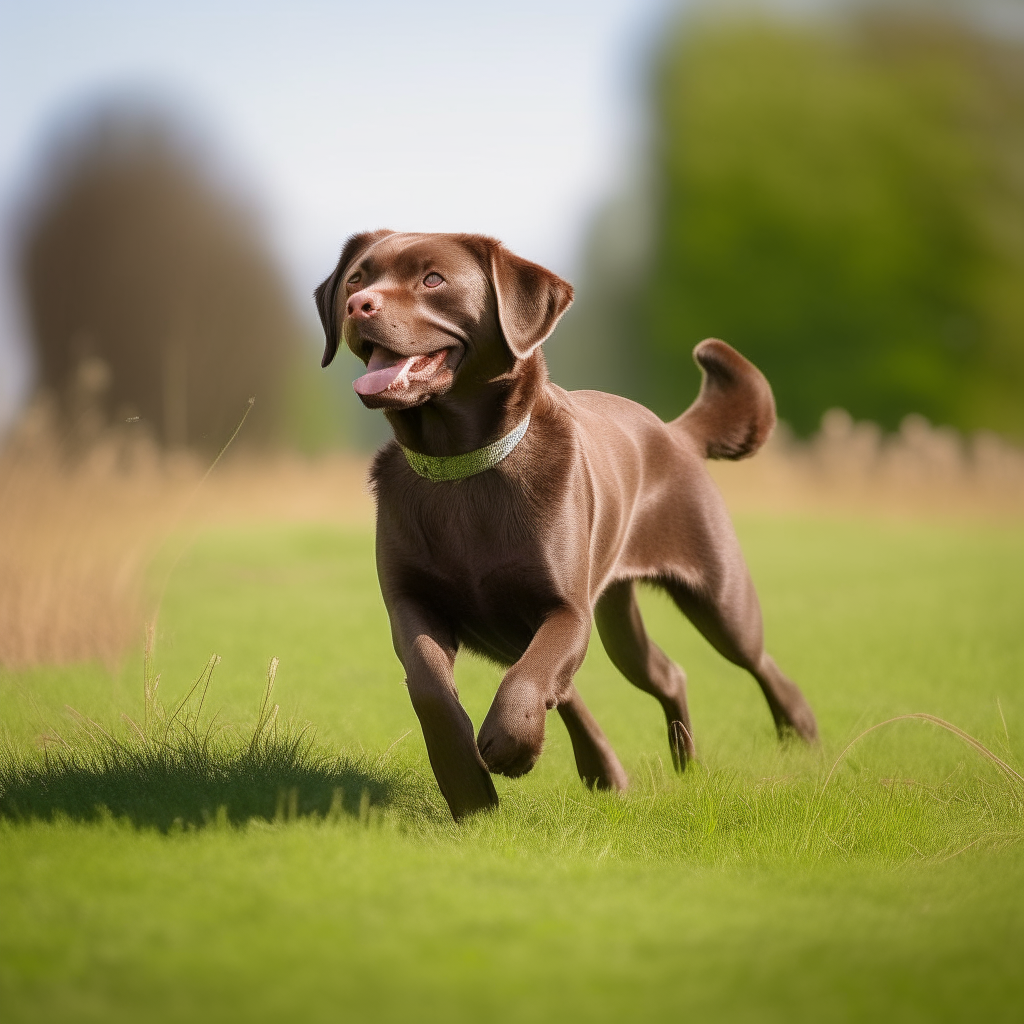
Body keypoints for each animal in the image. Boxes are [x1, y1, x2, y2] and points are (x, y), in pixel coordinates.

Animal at [315, 230, 819, 815]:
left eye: (433, 279)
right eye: (356, 278)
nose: (358, 304)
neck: (462, 465)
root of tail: (676, 432)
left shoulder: (566, 609)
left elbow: (528, 681)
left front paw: (509, 745)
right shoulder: (411, 603)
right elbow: (431, 688)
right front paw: (469, 787)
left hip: (718, 598)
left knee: (757, 661)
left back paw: (800, 734)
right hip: (608, 625)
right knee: (660, 675)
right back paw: (665, 767)